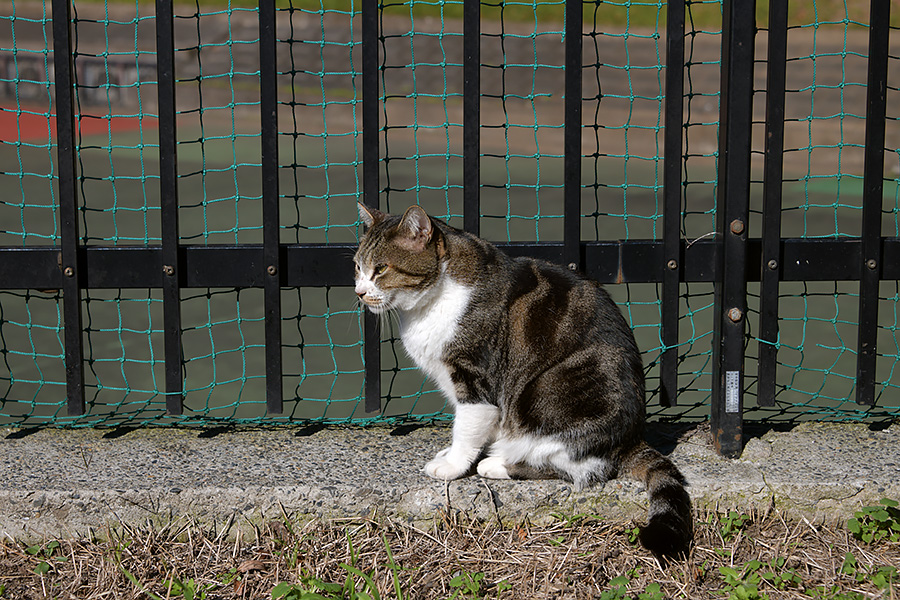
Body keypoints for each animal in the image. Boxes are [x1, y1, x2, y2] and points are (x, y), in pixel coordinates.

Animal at [356, 204, 692, 556]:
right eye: (357, 267)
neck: (435, 296)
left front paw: (453, 466)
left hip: (546, 394)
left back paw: (497, 463)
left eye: (381, 268)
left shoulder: (475, 379)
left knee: (577, 468)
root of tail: (631, 439)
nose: (359, 292)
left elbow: (466, 428)